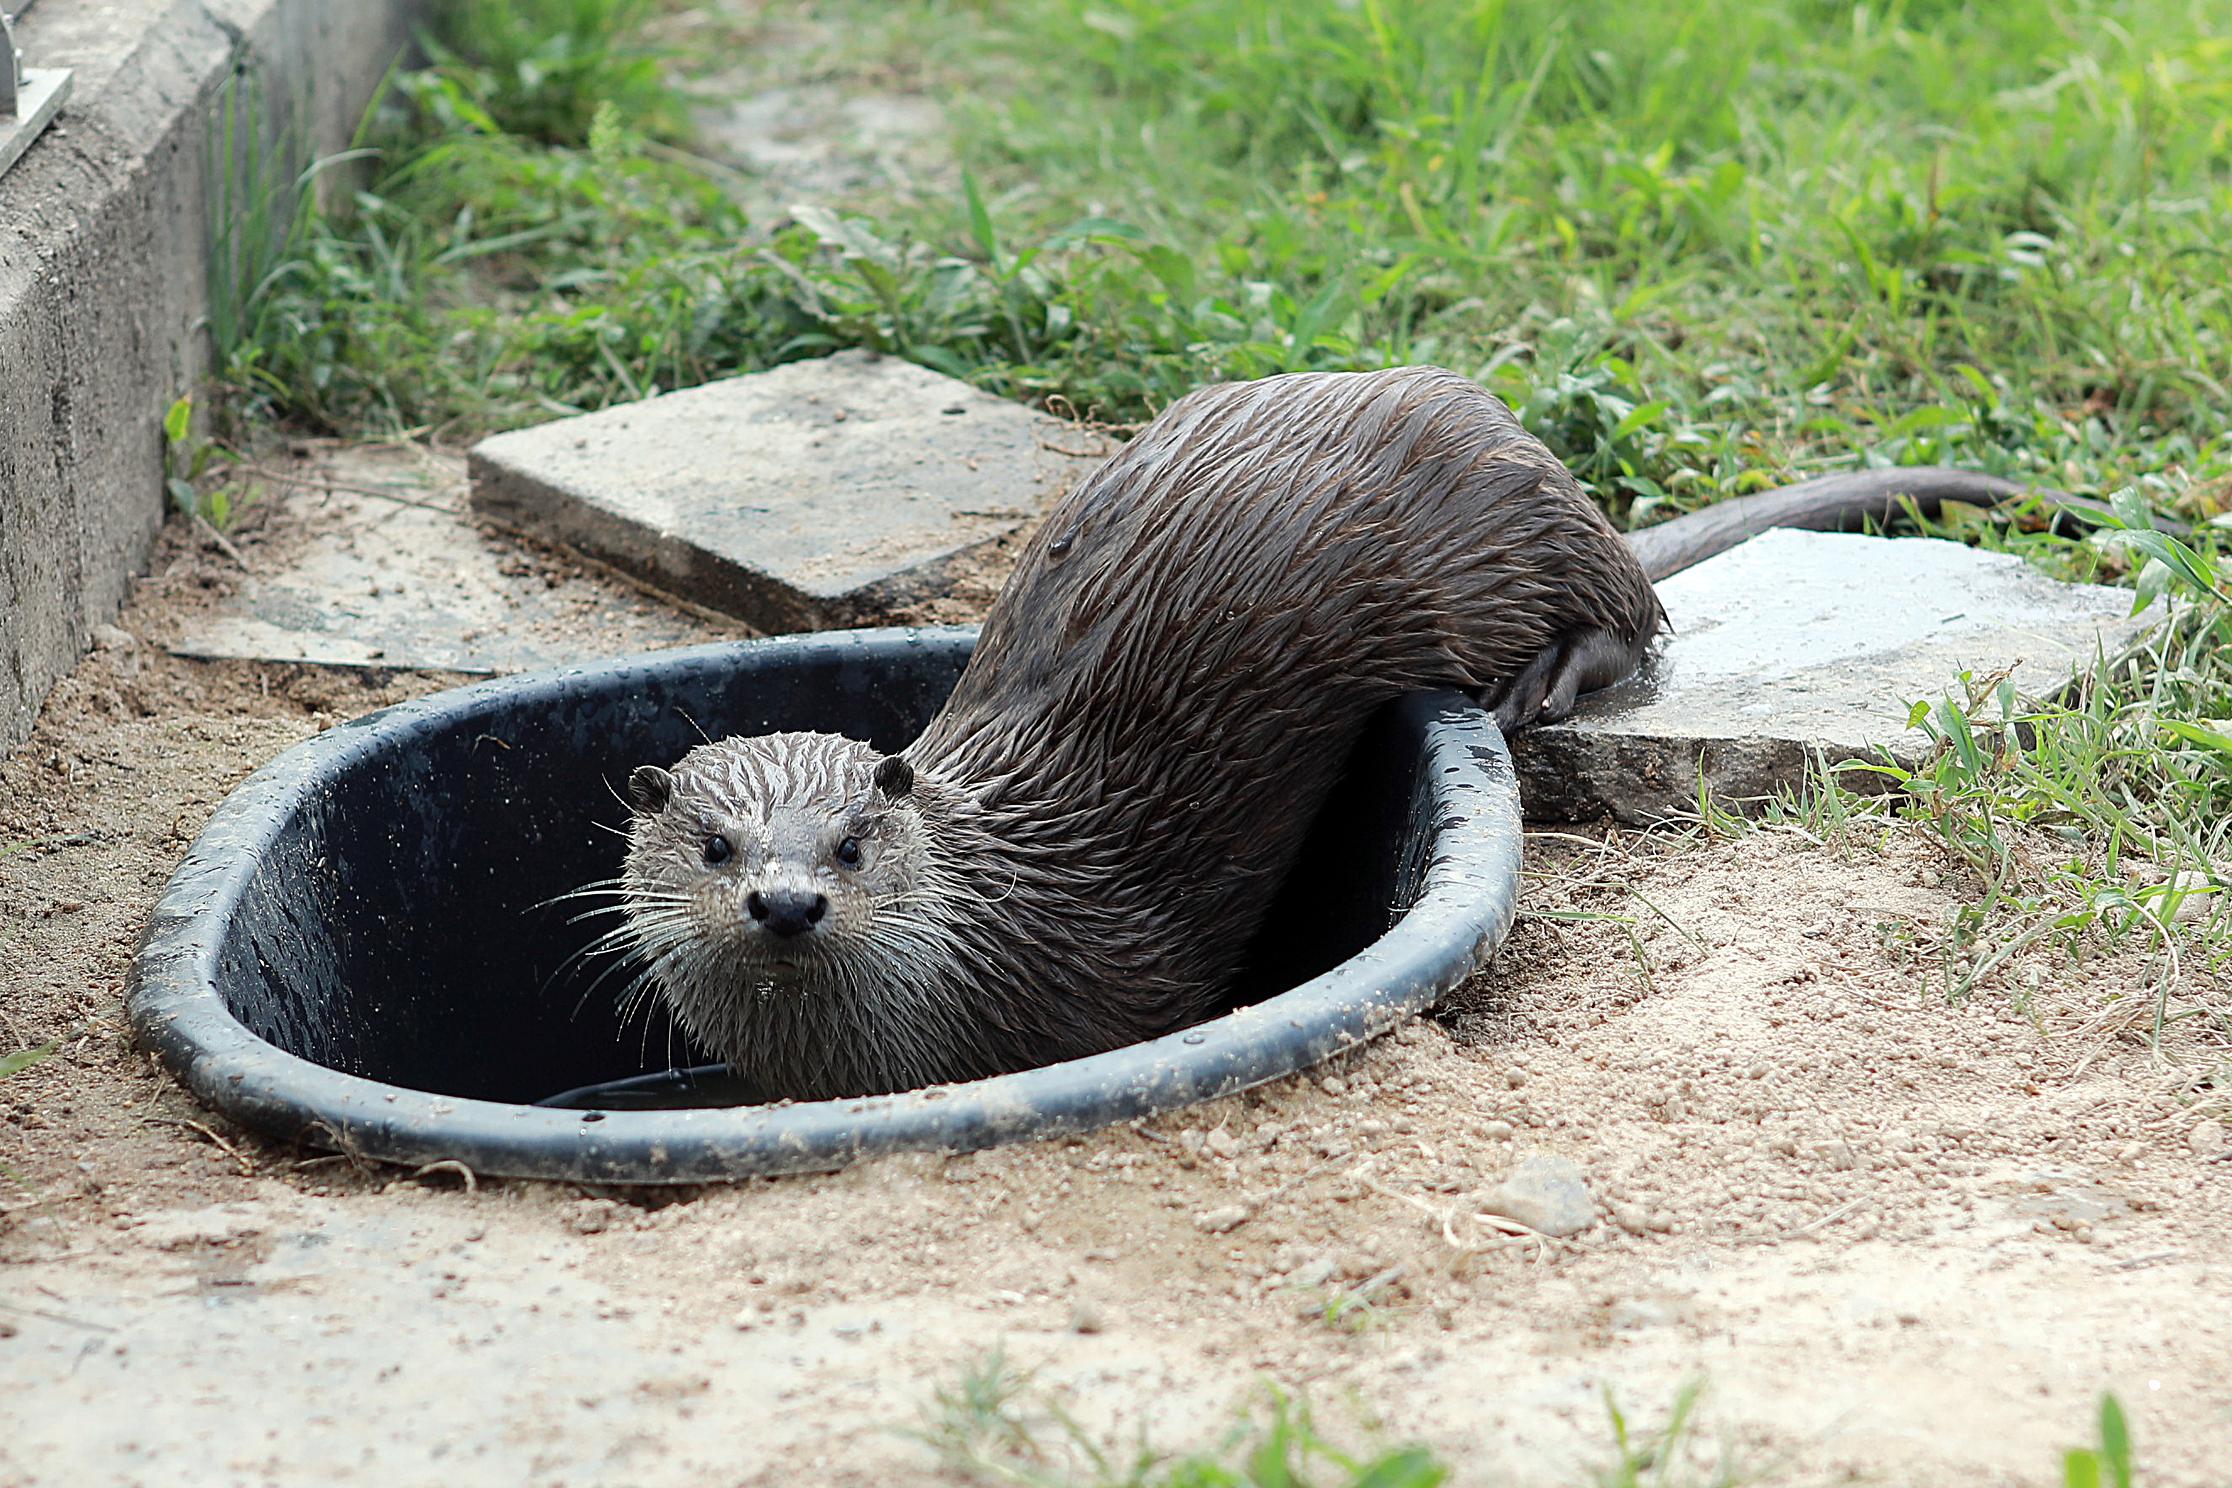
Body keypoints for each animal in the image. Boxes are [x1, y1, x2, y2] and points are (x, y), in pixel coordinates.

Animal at [620, 365, 2115, 1102]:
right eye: (713, 844)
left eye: (854, 841)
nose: (787, 900)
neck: (996, 933)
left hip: (1497, 535)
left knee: (1631, 612)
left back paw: (1546, 680)